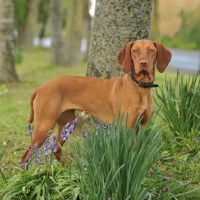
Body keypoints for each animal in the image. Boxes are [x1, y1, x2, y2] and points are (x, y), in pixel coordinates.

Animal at [20, 39, 172, 165]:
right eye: (135, 51)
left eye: (151, 50)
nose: (143, 63)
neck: (140, 87)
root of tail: (40, 87)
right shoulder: (125, 128)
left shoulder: (141, 127)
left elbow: (135, 153)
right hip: (45, 125)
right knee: (26, 156)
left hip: (68, 123)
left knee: (56, 149)